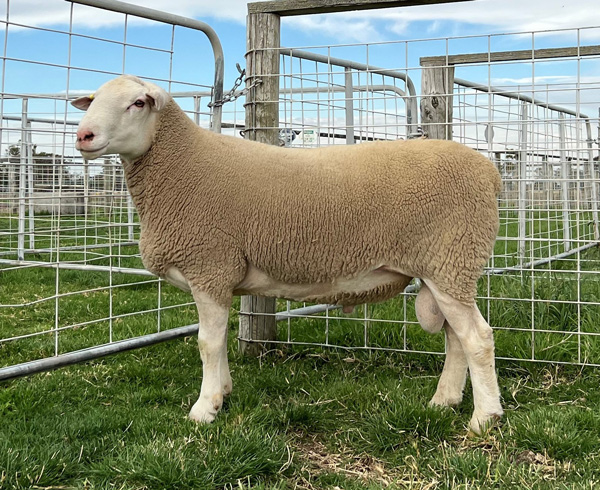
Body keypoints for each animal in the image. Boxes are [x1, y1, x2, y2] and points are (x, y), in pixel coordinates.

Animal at [72, 74, 504, 434]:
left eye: (138, 103)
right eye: (93, 100)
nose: (84, 136)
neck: (181, 166)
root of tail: (488, 171)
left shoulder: (211, 266)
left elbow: (207, 343)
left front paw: (204, 409)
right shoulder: (220, 275)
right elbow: (219, 340)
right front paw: (223, 393)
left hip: (451, 257)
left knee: (478, 338)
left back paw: (484, 418)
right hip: (447, 267)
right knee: (456, 338)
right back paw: (444, 401)